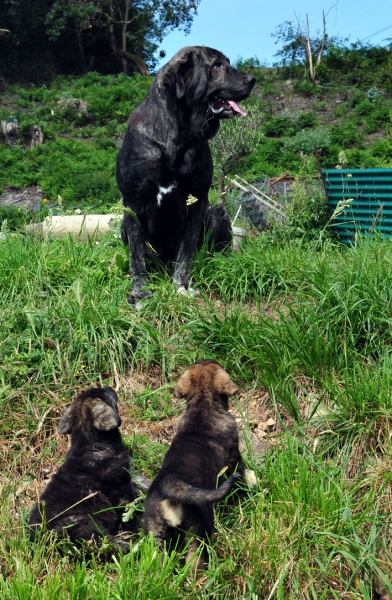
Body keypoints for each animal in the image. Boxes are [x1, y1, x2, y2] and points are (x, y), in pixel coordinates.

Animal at [116, 45, 256, 304]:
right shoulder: (132, 204)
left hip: (218, 212)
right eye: (216, 65)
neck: (178, 137)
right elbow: (136, 256)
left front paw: (182, 284)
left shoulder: (198, 200)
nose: (253, 79)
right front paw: (139, 292)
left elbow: (187, 249)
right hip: (122, 224)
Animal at [142, 358, 256, 568]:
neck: (203, 404)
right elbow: (242, 470)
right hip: (198, 527)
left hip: (155, 534)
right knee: (195, 559)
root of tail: (170, 483)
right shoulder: (234, 455)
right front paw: (252, 481)